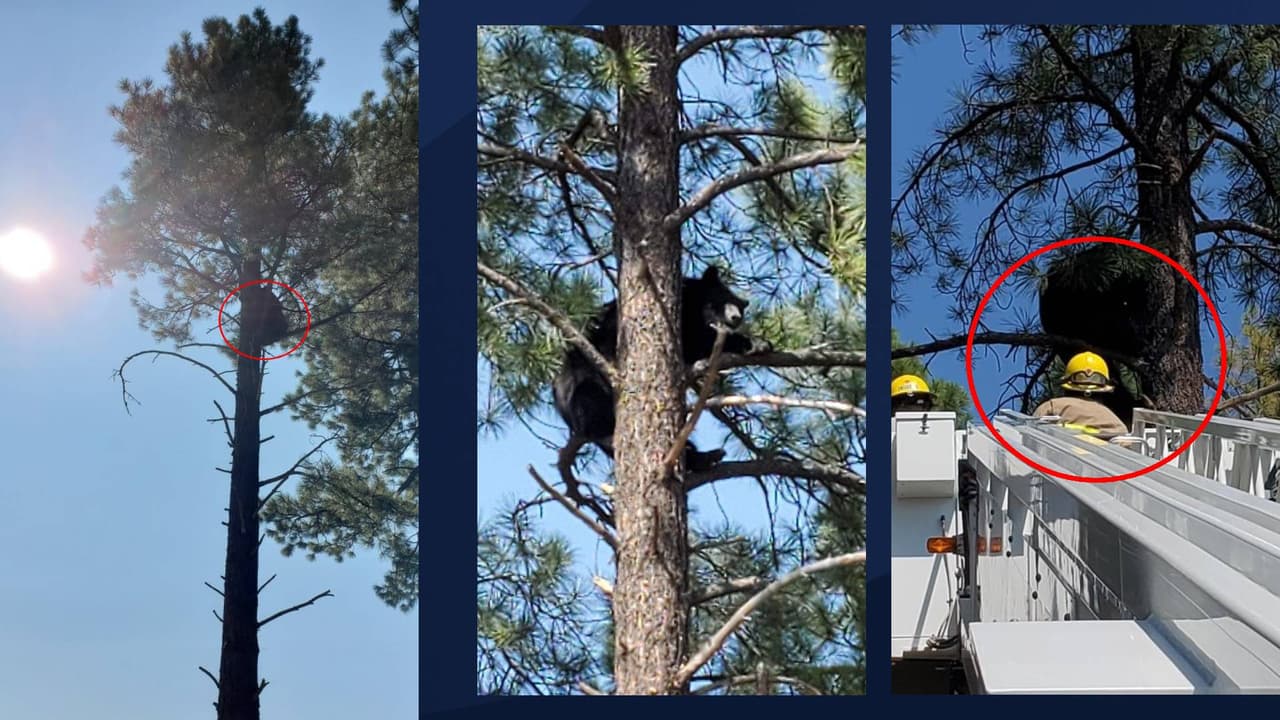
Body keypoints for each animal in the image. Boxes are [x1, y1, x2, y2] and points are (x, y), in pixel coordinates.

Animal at [552, 265, 771, 471]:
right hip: (585, 377)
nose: (735, 317)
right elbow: (697, 339)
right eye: (723, 299)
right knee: (591, 401)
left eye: (741, 309)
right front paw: (754, 343)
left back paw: (704, 456)